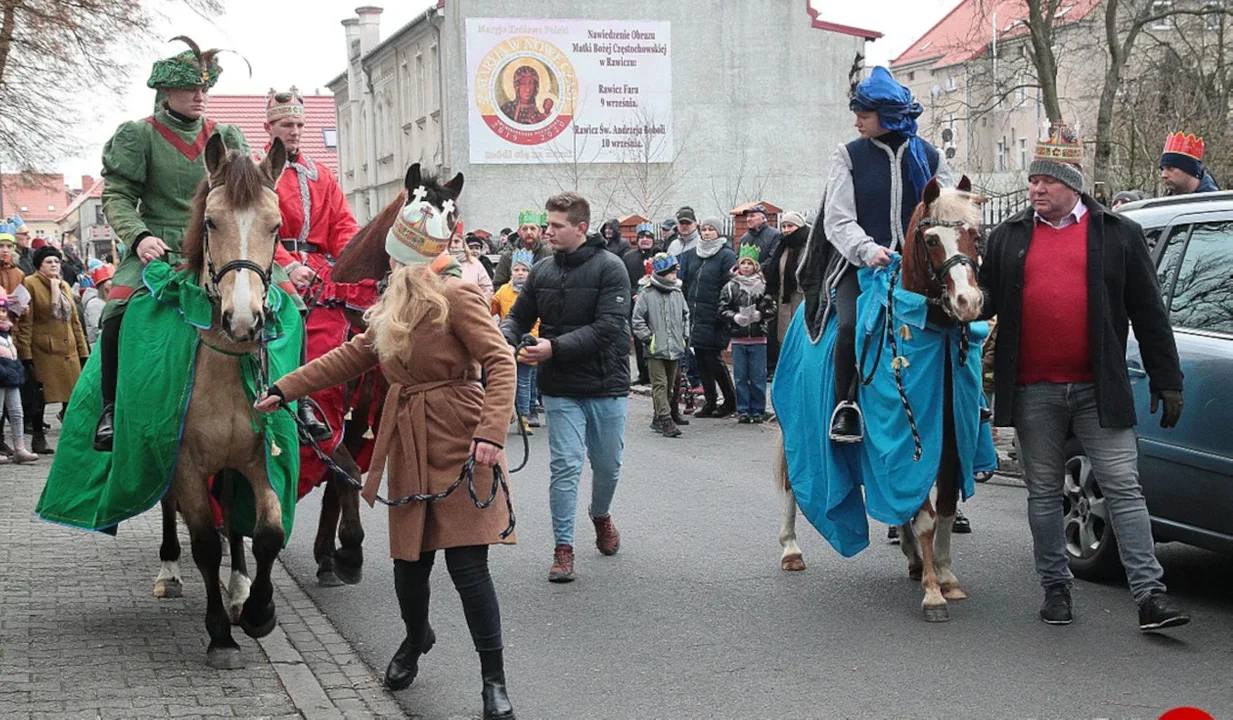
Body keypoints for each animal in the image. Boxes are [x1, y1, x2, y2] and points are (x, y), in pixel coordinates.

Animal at [156, 131, 290, 665]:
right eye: (211, 221)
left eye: (276, 225)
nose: (244, 319)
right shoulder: (186, 465)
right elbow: (205, 545)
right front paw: (220, 636)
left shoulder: (258, 459)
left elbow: (267, 533)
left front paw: (257, 612)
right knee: (171, 510)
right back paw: (169, 570)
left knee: (234, 519)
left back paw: (238, 589)